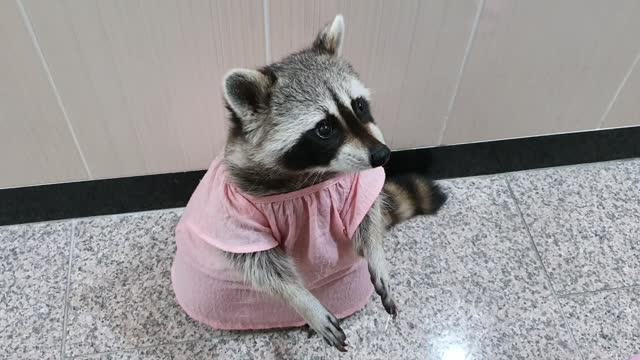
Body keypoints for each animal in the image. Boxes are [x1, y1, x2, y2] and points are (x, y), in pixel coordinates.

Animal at [172, 14, 448, 352]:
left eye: (358, 106)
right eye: (324, 128)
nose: (383, 155)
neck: (309, 175)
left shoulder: (352, 185)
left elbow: (367, 215)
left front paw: (376, 253)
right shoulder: (237, 214)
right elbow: (260, 265)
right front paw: (303, 300)